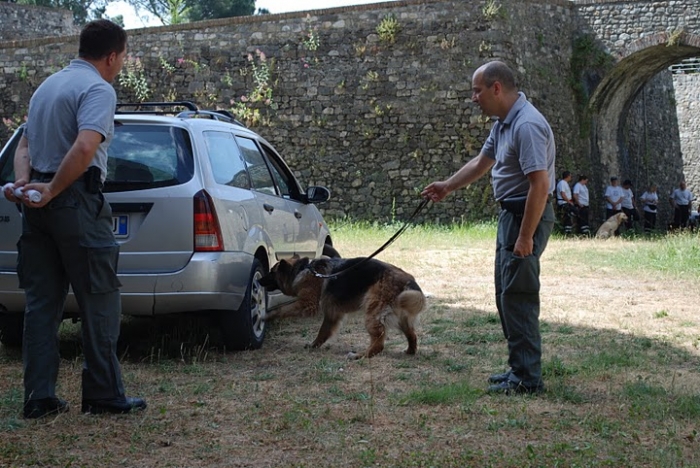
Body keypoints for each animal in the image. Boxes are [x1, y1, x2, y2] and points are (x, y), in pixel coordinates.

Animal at [258, 256, 426, 358]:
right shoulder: (332, 314)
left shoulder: (306, 305)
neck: (301, 269)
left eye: (271, 272)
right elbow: (323, 332)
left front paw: (266, 316)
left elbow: (281, 310)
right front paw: (314, 345)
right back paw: (410, 351)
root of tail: (408, 279)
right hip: (400, 318)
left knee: (379, 343)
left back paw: (361, 355)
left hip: (372, 315)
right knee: (412, 335)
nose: (258, 280)